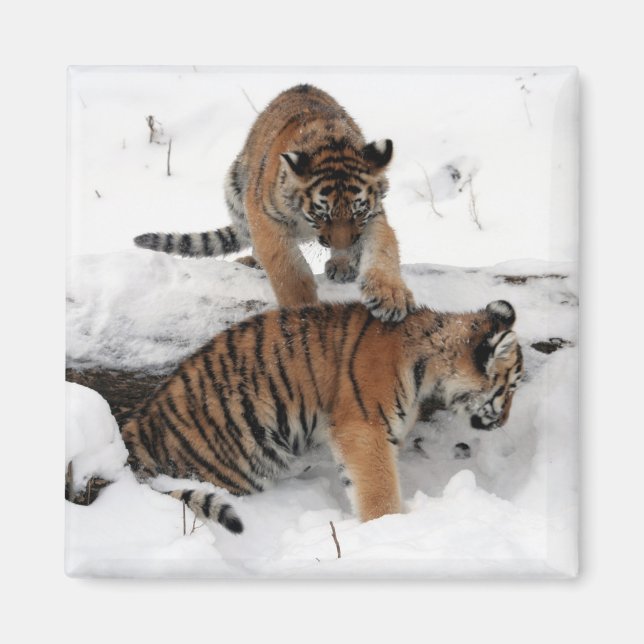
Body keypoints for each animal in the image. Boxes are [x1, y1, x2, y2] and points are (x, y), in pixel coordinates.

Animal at [107, 299, 524, 534]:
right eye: (509, 389)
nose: (504, 422)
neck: (427, 362)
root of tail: (138, 431)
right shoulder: (364, 428)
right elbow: (378, 485)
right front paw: (388, 526)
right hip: (239, 463)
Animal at [133, 84, 415, 322]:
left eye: (358, 214)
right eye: (322, 216)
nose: (343, 246)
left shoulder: (374, 216)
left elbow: (383, 250)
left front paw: (391, 297)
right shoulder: (264, 217)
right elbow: (286, 268)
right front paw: (301, 307)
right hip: (235, 190)